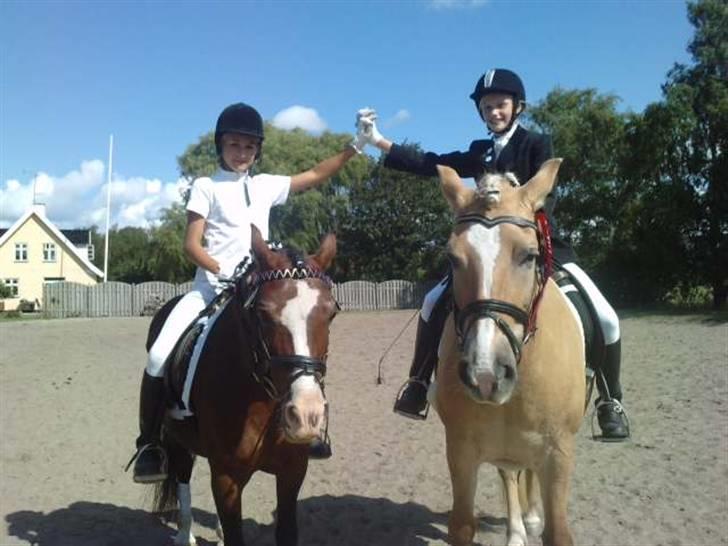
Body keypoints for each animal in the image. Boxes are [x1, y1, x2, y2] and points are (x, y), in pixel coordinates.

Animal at [150, 225, 342, 544]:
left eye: (331, 314)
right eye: (263, 313)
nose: (306, 415)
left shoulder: (292, 472)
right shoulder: (226, 477)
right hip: (176, 439)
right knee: (182, 479)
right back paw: (185, 535)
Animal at [432, 158, 584, 544]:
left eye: (529, 256)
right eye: (453, 259)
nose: (485, 374)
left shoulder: (558, 454)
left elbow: (558, 533)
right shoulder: (461, 449)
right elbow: (462, 524)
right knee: (510, 474)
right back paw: (518, 528)